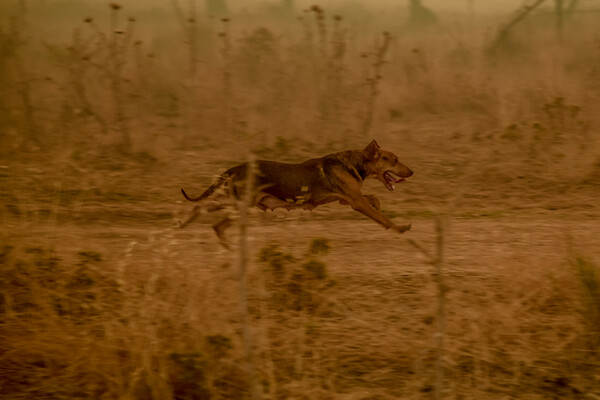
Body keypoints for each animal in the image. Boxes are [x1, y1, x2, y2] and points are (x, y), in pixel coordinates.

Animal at [178, 141, 412, 247]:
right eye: (394, 160)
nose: (411, 172)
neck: (356, 162)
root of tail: (237, 167)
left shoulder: (346, 199)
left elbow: (375, 200)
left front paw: (378, 205)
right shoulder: (355, 201)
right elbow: (383, 218)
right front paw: (400, 228)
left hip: (230, 200)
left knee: (199, 207)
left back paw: (184, 223)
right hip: (241, 205)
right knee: (217, 225)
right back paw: (229, 247)